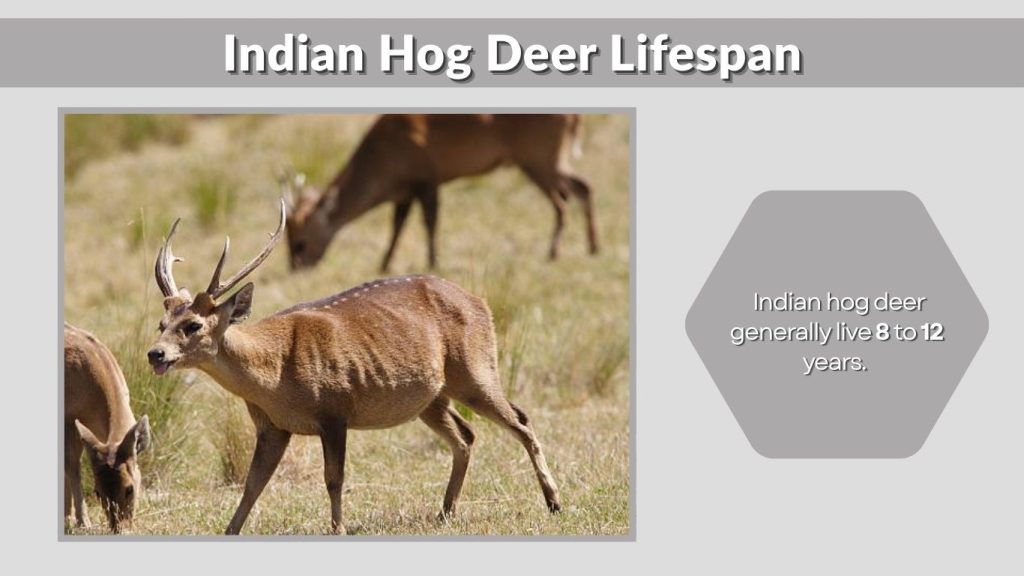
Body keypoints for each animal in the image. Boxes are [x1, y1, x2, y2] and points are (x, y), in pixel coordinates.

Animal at [64, 322, 151, 533]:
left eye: (130, 489)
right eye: (97, 492)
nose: (118, 528)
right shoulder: (68, 418)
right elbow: (71, 465)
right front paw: (81, 522)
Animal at [146, 200, 561, 535]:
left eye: (193, 325)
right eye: (160, 323)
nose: (155, 354)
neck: (275, 378)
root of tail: (482, 302)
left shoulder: (334, 408)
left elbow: (333, 478)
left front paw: (339, 529)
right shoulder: (271, 425)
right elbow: (252, 484)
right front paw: (230, 531)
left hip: (475, 369)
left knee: (521, 420)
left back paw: (554, 502)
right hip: (430, 397)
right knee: (467, 436)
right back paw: (445, 512)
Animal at [281, 113, 598, 272]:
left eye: (300, 243)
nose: (296, 268)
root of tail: (576, 116)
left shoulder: (426, 177)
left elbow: (429, 222)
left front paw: (433, 262)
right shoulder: (405, 191)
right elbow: (397, 225)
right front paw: (385, 264)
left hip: (540, 156)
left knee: (574, 193)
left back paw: (561, 251)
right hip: (540, 160)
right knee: (574, 192)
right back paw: (587, 248)